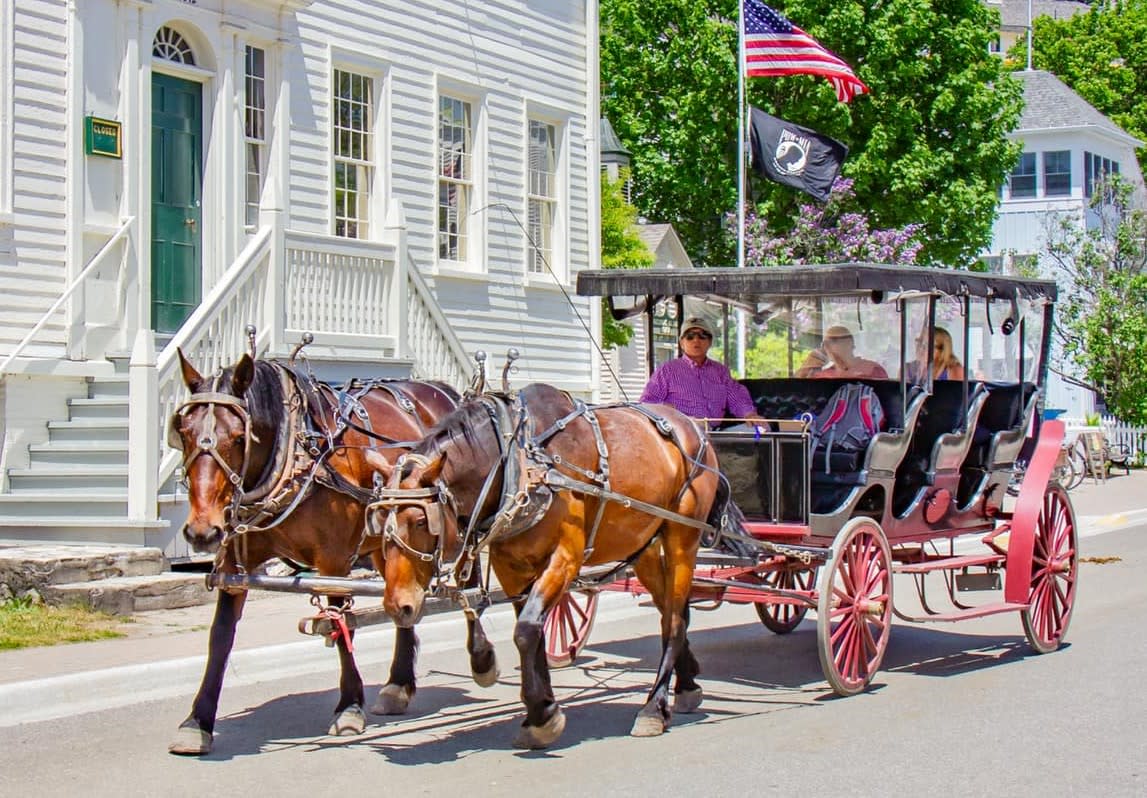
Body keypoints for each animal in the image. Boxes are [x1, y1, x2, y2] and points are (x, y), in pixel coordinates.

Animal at [165, 353, 493, 756]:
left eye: (239, 437)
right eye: (183, 432)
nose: (201, 531)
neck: (293, 457)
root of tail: (447, 393)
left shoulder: (333, 558)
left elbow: (339, 623)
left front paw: (349, 706)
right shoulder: (234, 563)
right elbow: (220, 637)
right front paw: (198, 721)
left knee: (468, 590)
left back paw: (479, 655)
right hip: (389, 541)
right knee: (406, 605)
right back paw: (398, 685)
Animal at [367, 382, 720, 752]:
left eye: (421, 521)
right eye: (378, 517)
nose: (398, 606)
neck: (522, 461)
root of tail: (693, 426)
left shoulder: (565, 558)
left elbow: (526, 630)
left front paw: (541, 714)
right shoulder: (512, 567)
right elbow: (532, 632)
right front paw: (540, 711)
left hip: (682, 537)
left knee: (676, 619)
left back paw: (654, 707)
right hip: (644, 545)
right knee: (669, 612)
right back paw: (686, 684)